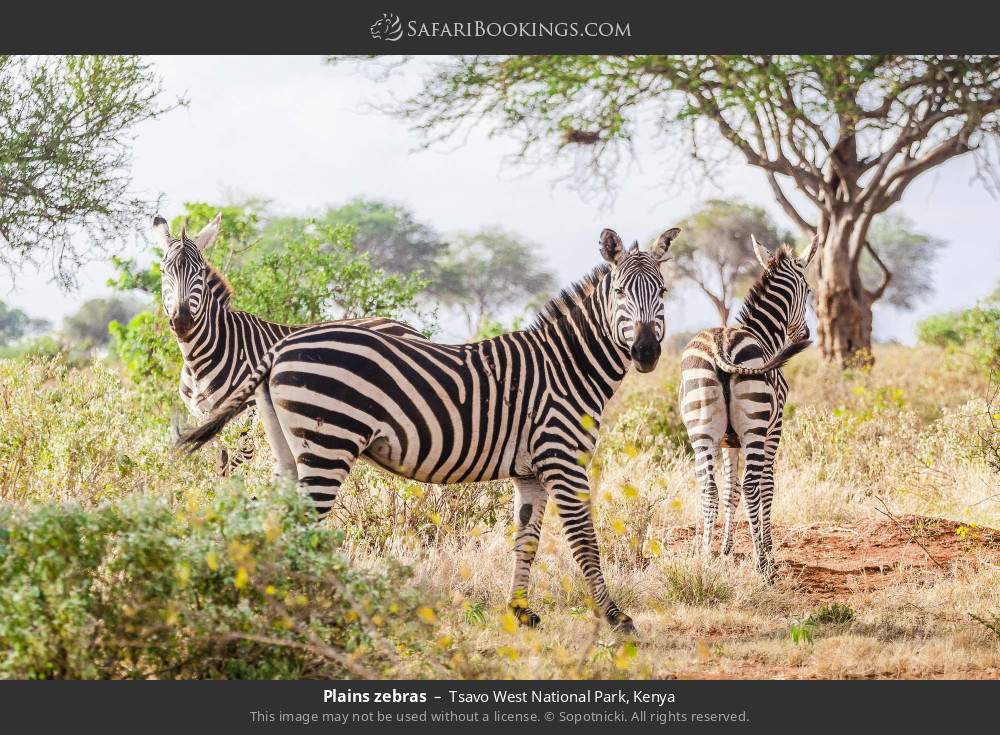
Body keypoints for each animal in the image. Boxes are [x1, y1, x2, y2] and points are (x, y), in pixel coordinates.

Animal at [154, 213, 424, 478]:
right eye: (163, 271)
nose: (182, 320)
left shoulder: (248, 417)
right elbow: (217, 470)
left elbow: (234, 470)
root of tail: (407, 327)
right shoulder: (204, 417)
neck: (199, 360)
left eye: (199, 272)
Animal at [180, 227, 680, 636]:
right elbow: (585, 542)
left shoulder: (530, 472)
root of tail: (281, 345)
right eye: (620, 292)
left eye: (663, 292)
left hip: (288, 449)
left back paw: (279, 601)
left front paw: (520, 612)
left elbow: (526, 542)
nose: (647, 352)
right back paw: (304, 607)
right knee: (300, 526)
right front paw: (615, 618)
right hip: (327, 443)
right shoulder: (563, 458)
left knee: (273, 520)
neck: (566, 366)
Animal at [676, 236, 816, 580]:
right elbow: (767, 484)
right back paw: (763, 567)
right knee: (753, 485)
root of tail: (721, 347)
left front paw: (725, 549)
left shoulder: (729, 441)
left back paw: (705, 557)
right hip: (754, 428)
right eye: (808, 290)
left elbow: (730, 491)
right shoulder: (774, 428)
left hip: (701, 430)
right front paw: (767, 547)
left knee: (709, 488)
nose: (804, 335)